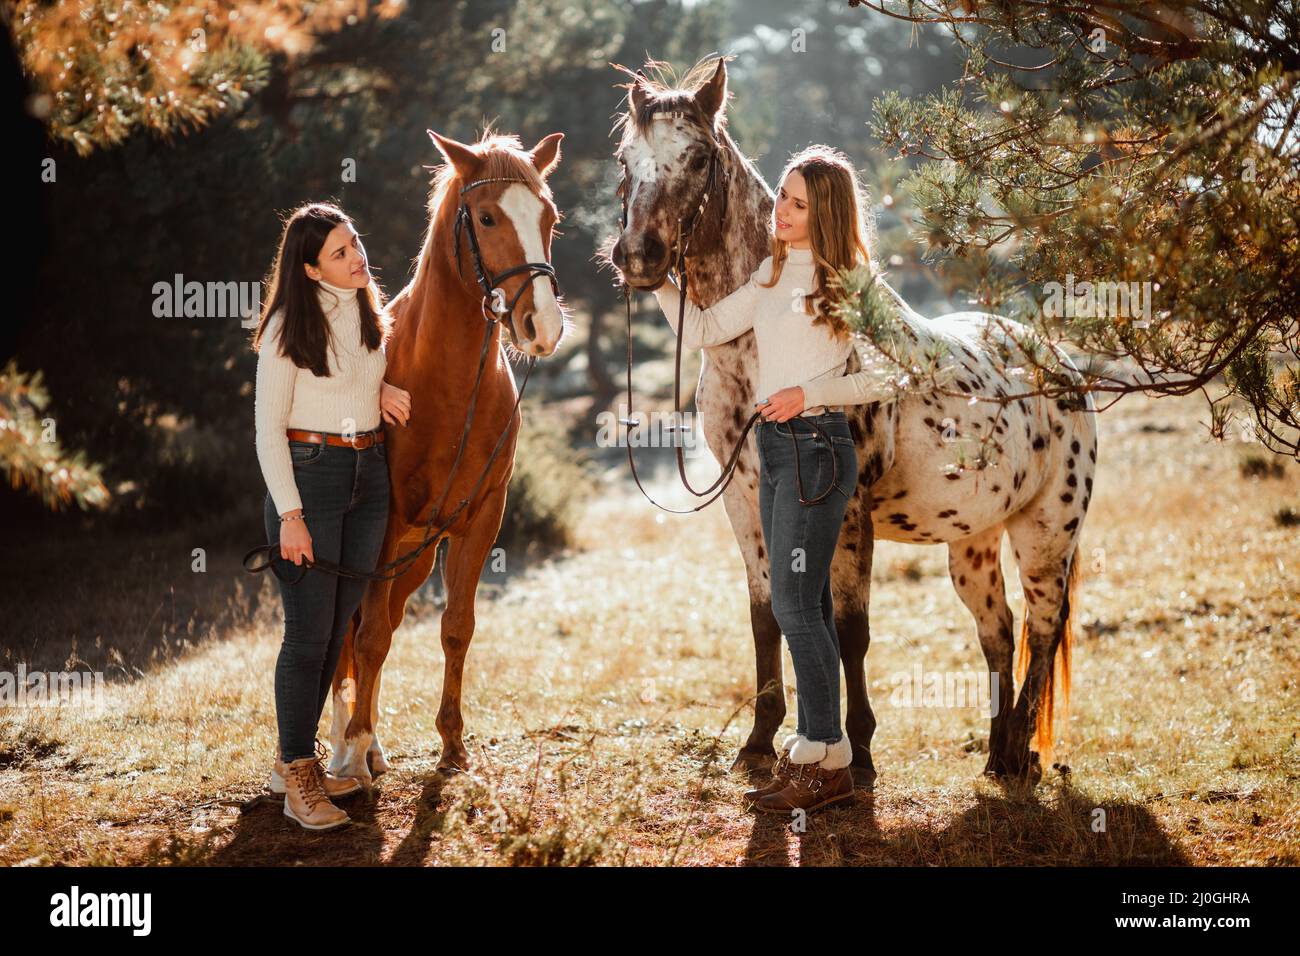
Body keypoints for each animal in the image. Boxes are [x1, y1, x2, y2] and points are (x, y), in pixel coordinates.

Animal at [327, 128, 566, 785]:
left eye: (549, 218)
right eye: (485, 217)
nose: (542, 326)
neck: (448, 383)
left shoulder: (480, 518)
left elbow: (456, 628)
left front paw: (453, 746)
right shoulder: (383, 522)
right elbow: (370, 639)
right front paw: (354, 748)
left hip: (412, 558)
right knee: (346, 637)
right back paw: (345, 747)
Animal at [608, 59, 1097, 790]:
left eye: (695, 157)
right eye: (625, 158)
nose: (638, 256)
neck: (752, 350)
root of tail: (1059, 364)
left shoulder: (849, 510)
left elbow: (848, 627)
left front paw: (859, 755)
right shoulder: (747, 504)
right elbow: (769, 617)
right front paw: (760, 744)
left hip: (1045, 536)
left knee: (1040, 629)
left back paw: (1021, 757)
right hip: (972, 544)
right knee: (999, 631)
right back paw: (997, 754)